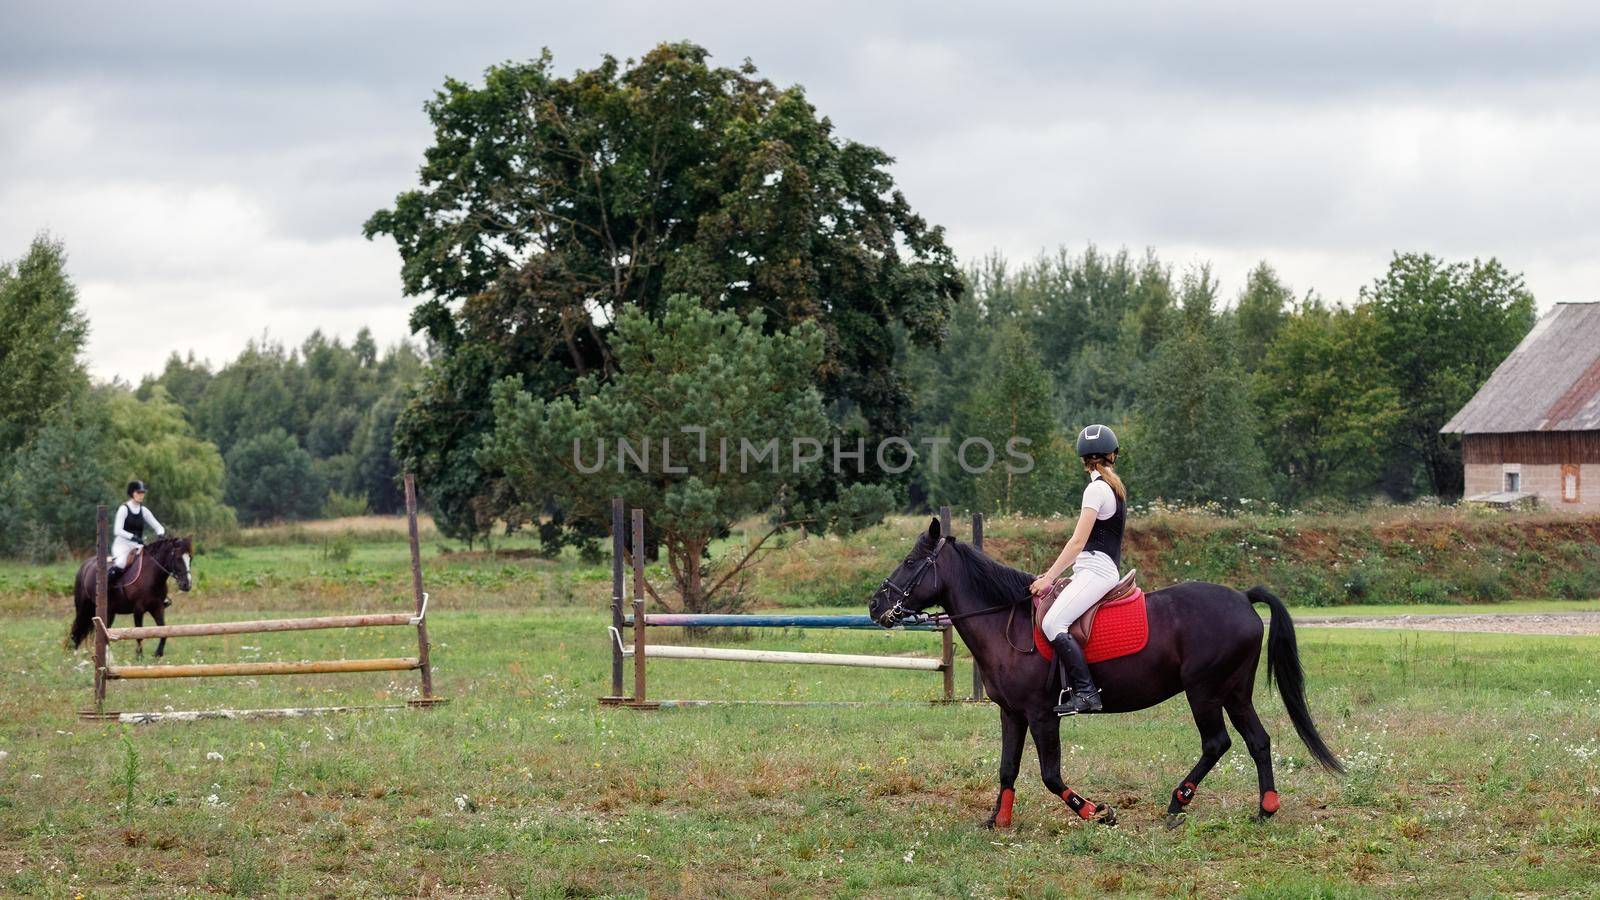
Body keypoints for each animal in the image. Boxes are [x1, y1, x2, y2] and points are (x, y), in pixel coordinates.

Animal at [870, 518, 1344, 826]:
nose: (876, 606)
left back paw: (1178, 802)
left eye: (911, 562)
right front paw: (997, 821)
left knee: (1217, 742)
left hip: (1204, 691)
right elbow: (1007, 768)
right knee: (1258, 741)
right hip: (1234, 691)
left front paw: (1095, 811)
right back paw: (1265, 809)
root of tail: (1243, 598)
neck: (1007, 621)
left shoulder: (1042, 715)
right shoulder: (1011, 714)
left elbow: (1050, 775)